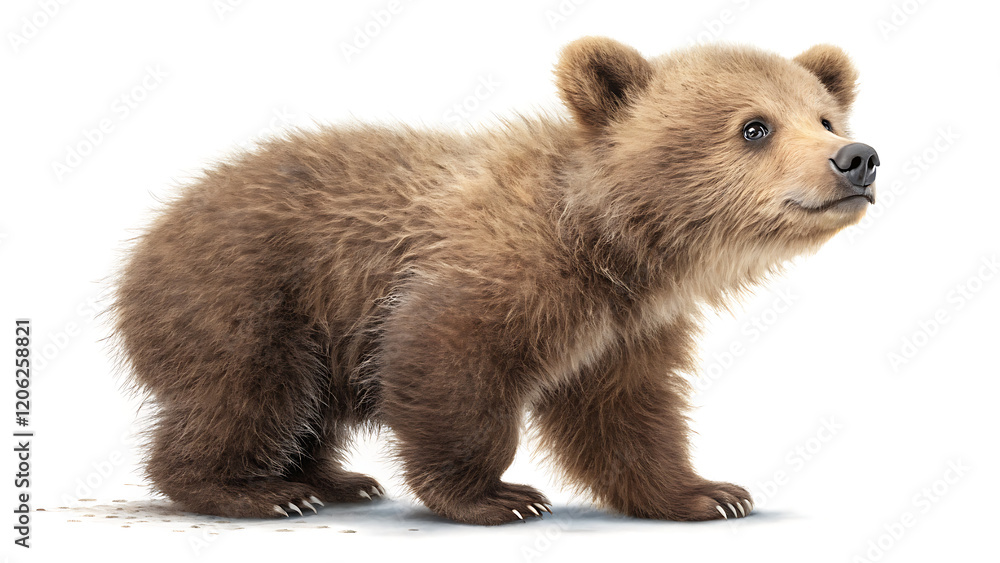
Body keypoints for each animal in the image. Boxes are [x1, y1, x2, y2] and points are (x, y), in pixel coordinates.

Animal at [109, 36, 878, 525]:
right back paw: (253, 489)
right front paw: (497, 496)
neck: (615, 246)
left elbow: (627, 412)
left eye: (823, 115)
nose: (856, 157)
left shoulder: (627, 327)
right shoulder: (496, 273)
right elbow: (448, 364)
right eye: (754, 126)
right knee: (250, 391)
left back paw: (336, 479)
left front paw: (709, 492)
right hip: (250, 290)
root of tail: (143, 243)